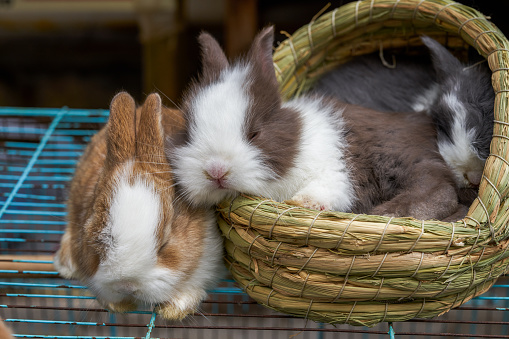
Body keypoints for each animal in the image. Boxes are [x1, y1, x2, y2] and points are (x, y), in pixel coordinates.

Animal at [170, 27, 456, 222]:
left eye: (255, 133)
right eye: (189, 132)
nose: (216, 171)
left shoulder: (337, 172)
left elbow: (325, 190)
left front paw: (301, 203)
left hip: (404, 160)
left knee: (439, 190)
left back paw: (388, 212)